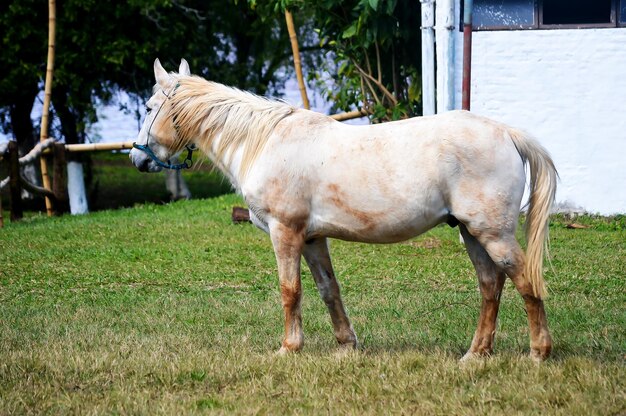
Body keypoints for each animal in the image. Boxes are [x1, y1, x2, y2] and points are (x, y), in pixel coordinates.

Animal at [130, 58, 556, 360]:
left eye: (149, 107)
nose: (138, 159)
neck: (265, 141)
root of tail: (506, 133)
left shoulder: (285, 232)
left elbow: (290, 290)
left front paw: (289, 348)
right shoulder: (312, 238)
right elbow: (327, 289)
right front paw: (346, 344)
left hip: (492, 233)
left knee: (524, 280)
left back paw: (539, 352)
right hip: (471, 232)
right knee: (490, 286)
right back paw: (476, 354)